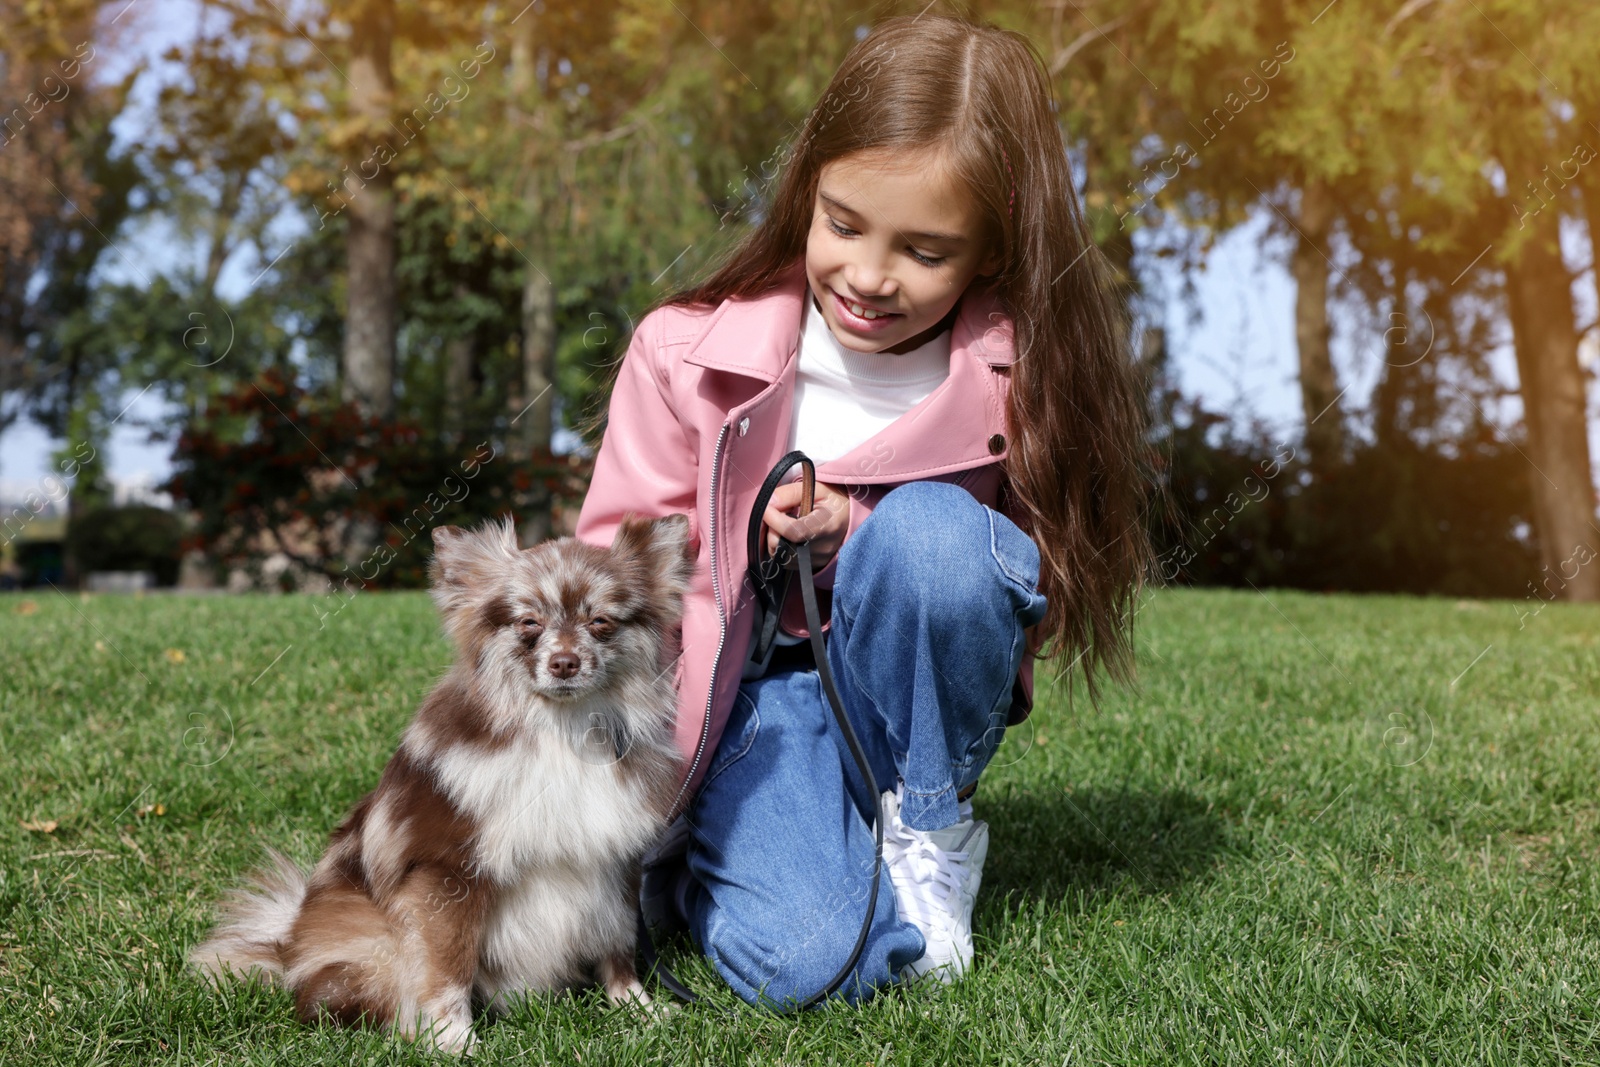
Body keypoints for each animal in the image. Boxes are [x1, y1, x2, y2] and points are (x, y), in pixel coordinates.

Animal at [190, 515, 691, 1049]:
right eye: (528, 623)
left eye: (600, 622)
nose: (564, 663)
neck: (560, 730)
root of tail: (286, 945)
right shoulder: (447, 872)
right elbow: (449, 965)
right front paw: (454, 1041)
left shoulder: (613, 861)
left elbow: (618, 946)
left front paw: (638, 1010)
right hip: (373, 947)